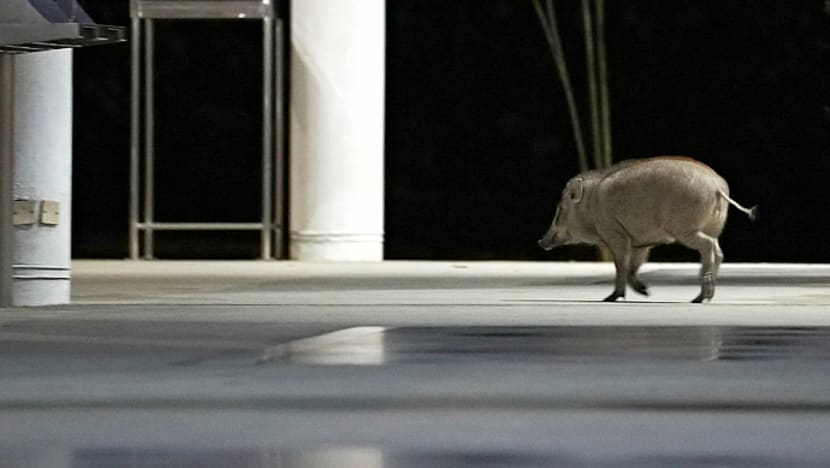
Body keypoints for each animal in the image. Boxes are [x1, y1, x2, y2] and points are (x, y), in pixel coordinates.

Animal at [538, 156, 757, 303]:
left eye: (560, 210)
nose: (540, 241)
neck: (590, 206)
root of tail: (717, 187)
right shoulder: (641, 243)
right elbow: (633, 267)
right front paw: (646, 292)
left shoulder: (616, 234)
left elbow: (621, 265)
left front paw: (612, 298)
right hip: (712, 228)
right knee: (718, 252)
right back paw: (701, 297)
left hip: (686, 229)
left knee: (708, 247)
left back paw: (702, 297)